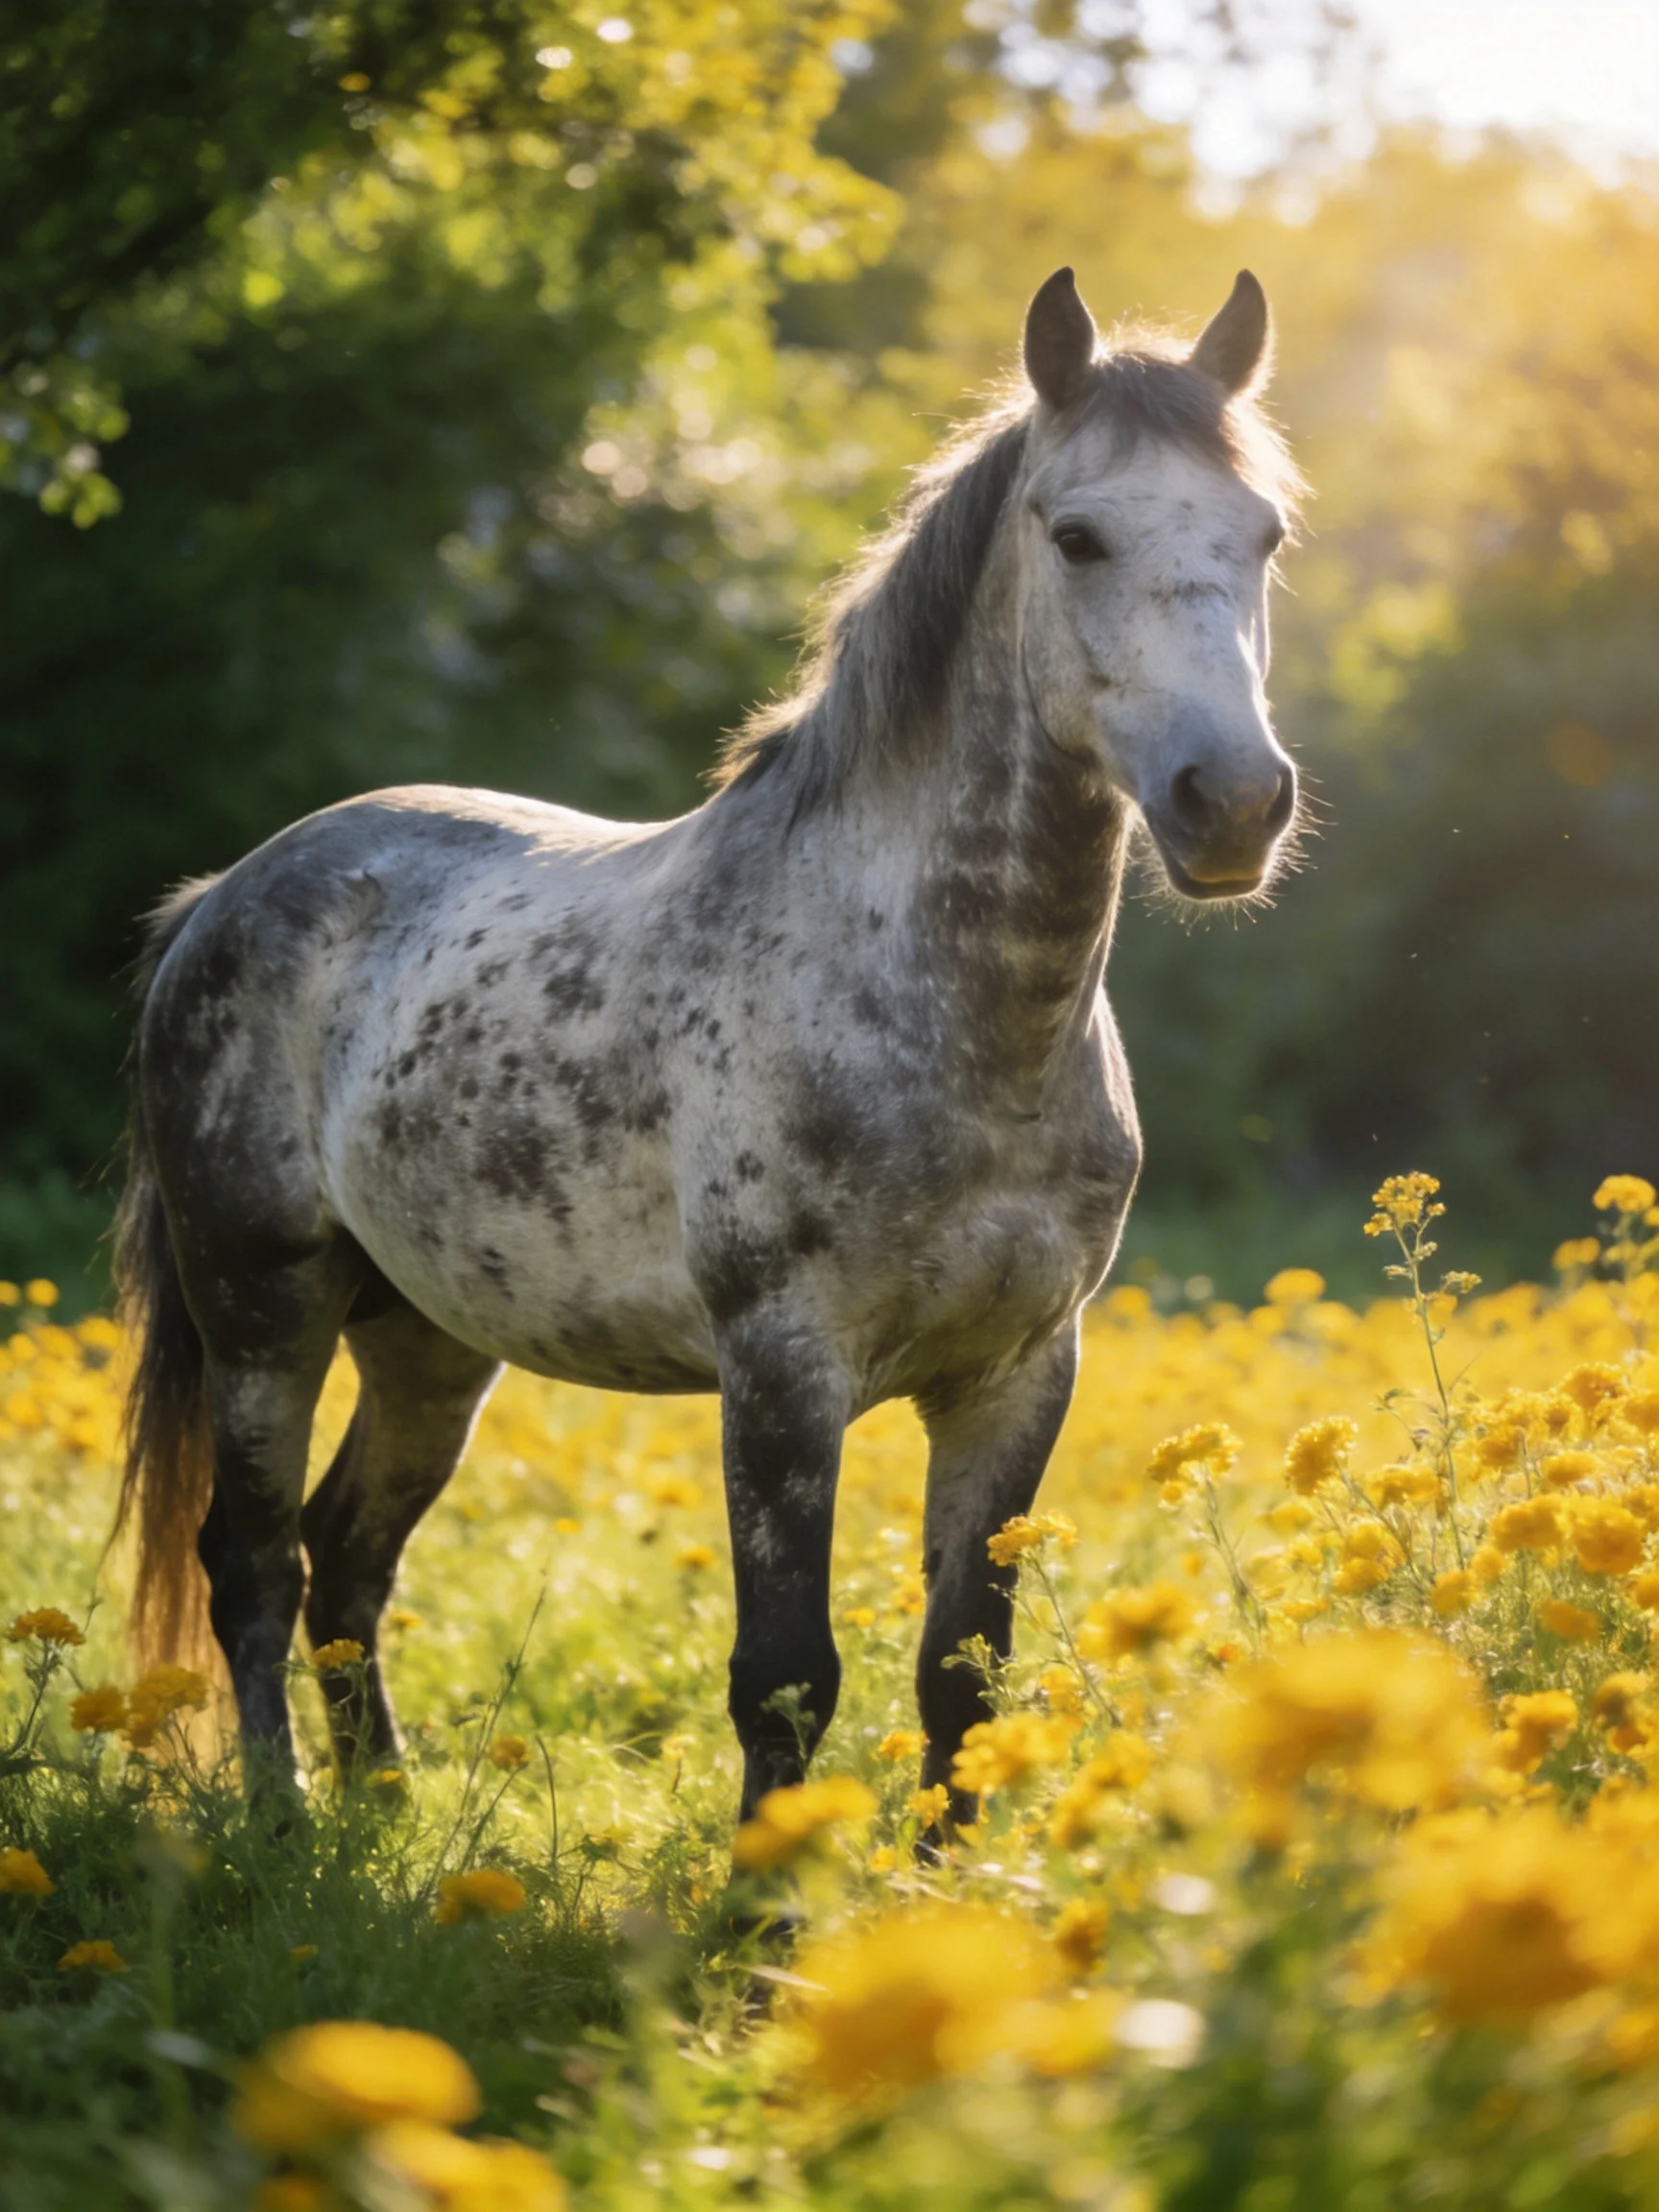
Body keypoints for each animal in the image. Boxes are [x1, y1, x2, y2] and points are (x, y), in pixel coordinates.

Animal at [113, 266, 1301, 1833]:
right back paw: (286, 1826)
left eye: (1264, 536)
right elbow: (785, 1681)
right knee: (251, 1562)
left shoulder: (1019, 1373)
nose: (1235, 804)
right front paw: (767, 1901)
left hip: (427, 1338)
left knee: (348, 1559)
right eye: (1079, 534)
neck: (951, 1024)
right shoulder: (782, 1373)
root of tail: (219, 898)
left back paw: (382, 1820)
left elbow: (960, 1676)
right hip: (265, 1308)